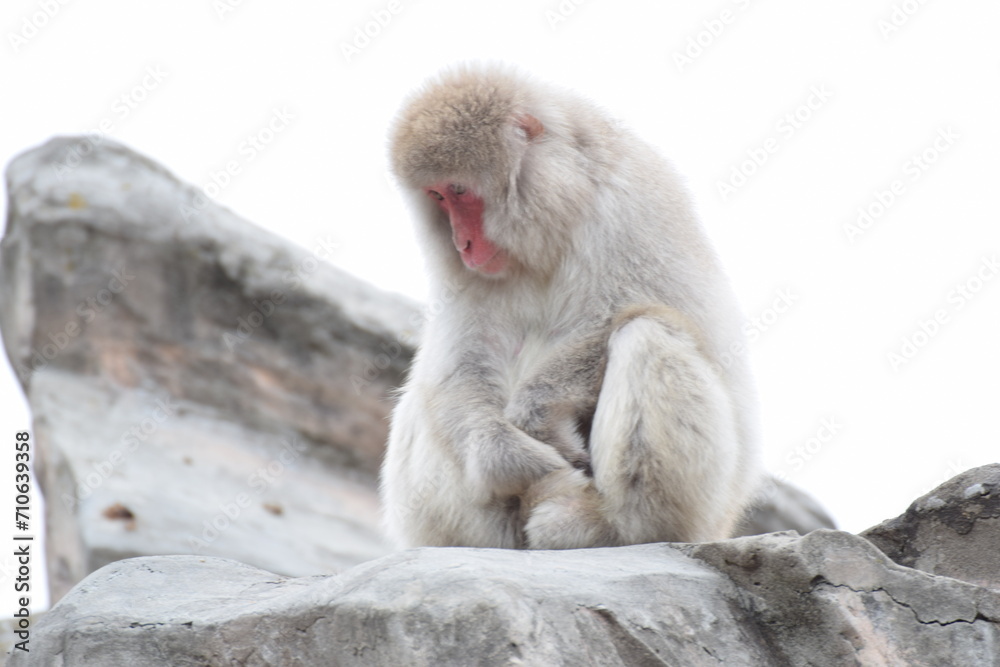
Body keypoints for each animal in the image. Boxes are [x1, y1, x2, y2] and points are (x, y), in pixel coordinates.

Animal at [380, 63, 762, 550]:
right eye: (437, 197)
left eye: (460, 190)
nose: (461, 242)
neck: (556, 217)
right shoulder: (462, 273)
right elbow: (463, 359)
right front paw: (511, 458)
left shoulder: (628, 200)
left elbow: (647, 311)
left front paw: (538, 414)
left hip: (710, 511)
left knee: (647, 332)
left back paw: (616, 526)